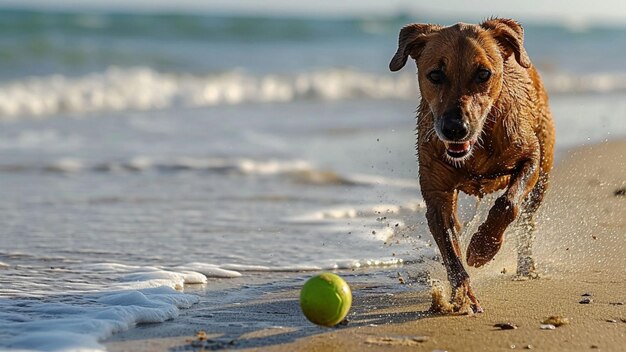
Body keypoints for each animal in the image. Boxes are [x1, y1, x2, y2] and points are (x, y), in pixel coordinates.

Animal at [388, 17, 552, 312]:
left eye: (483, 73)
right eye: (435, 75)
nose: (455, 128)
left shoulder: (530, 156)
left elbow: (508, 203)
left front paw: (482, 248)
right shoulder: (437, 191)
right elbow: (449, 244)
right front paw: (463, 294)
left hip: (544, 167)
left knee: (527, 218)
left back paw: (526, 267)